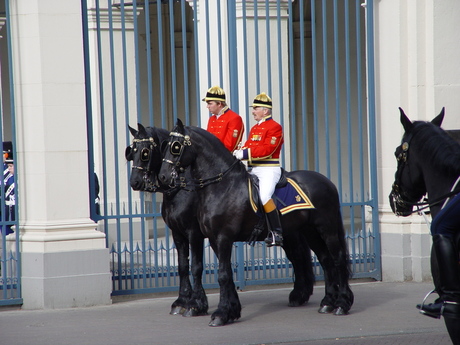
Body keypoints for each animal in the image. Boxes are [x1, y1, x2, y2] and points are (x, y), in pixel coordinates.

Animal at [125, 124, 208, 318]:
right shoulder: (177, 233)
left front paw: (197, 304)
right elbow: (183, 266)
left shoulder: (194, 234)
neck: (181, 189)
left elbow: (196, 266)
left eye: (145, 152)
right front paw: (182, 301)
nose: (134, 182)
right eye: (131, 152)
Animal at [156, 119, 354, 326]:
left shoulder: (220, 237)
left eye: (175, 146)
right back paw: (328, 302)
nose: (163, 177)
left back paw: (341, 304)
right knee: (325, 260)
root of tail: (327, 182)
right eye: (164, 146)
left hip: (327, 229)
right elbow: (226, 273)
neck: (222, 185)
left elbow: (221, 275)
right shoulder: (212, 239)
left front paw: (220, 313)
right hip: (311, 232)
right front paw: (231, 310)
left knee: (338, 259)